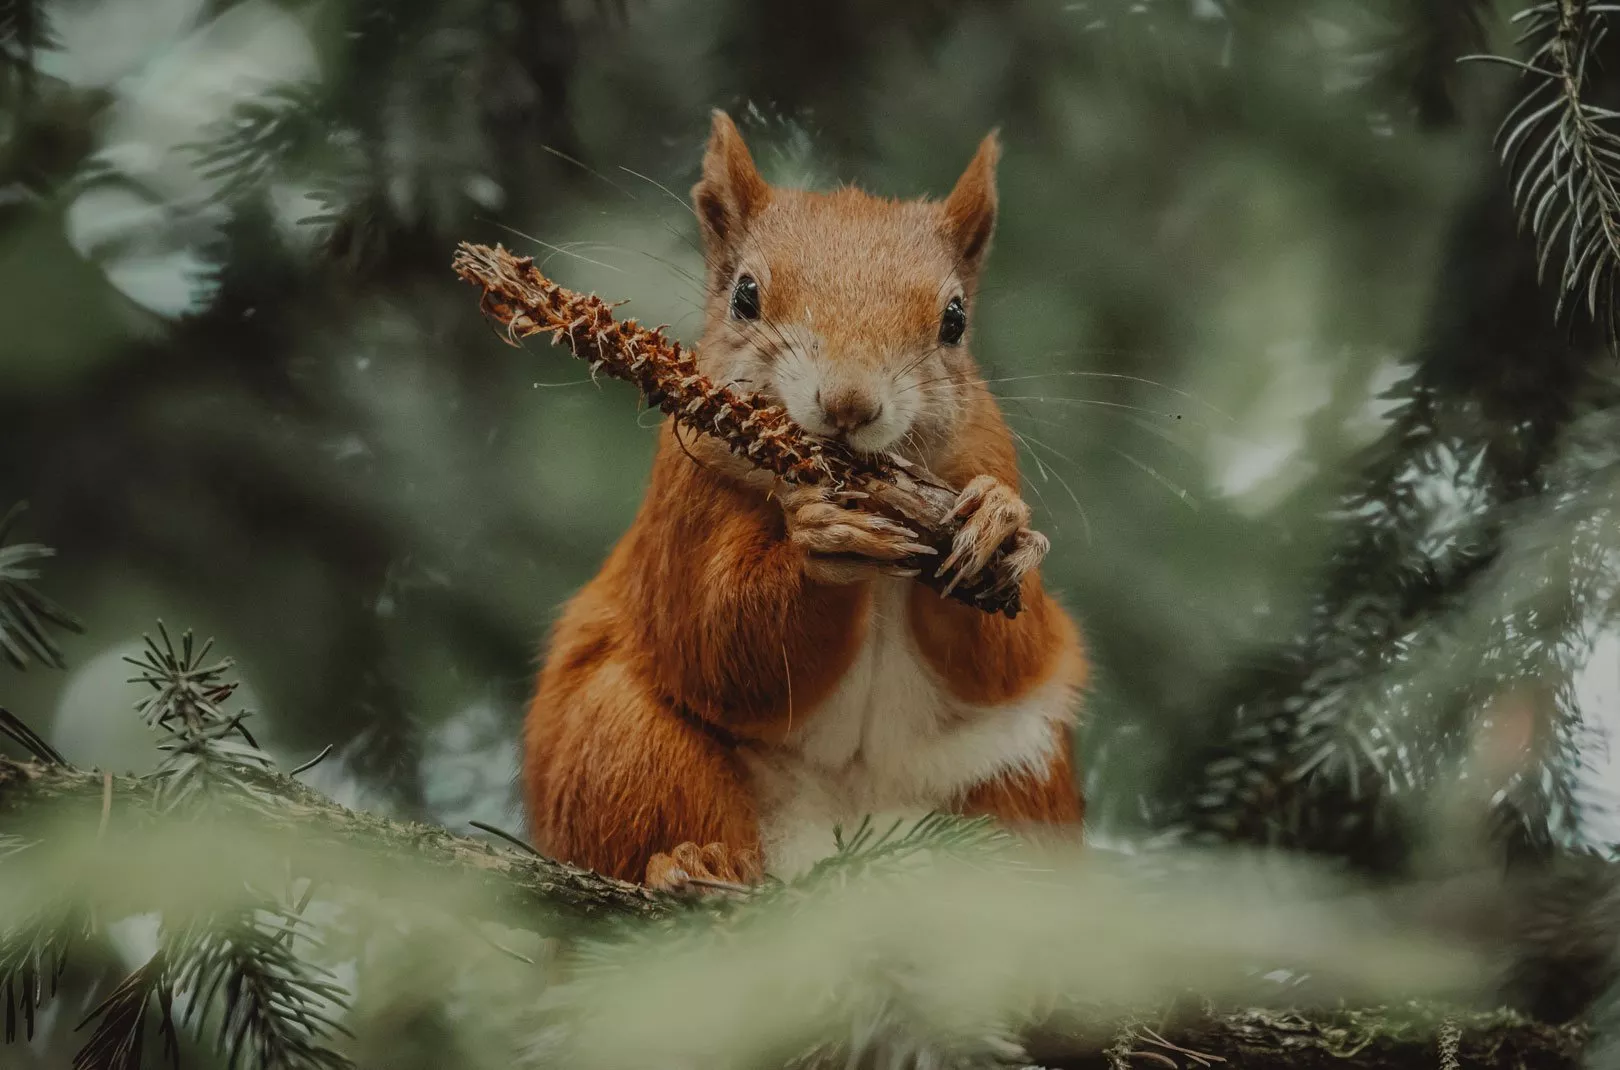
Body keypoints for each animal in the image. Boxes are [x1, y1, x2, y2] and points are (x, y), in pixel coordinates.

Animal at [522, 110, 1088, 890]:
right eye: (745, 296)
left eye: (955, 320)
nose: (849, 403)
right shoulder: (686, 500)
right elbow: (722, 636)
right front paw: (822, 543)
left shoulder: (988, 452)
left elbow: (1007, 652)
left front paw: (998, 523)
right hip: (619, 743)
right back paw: (694, 863)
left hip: (1021, 776)